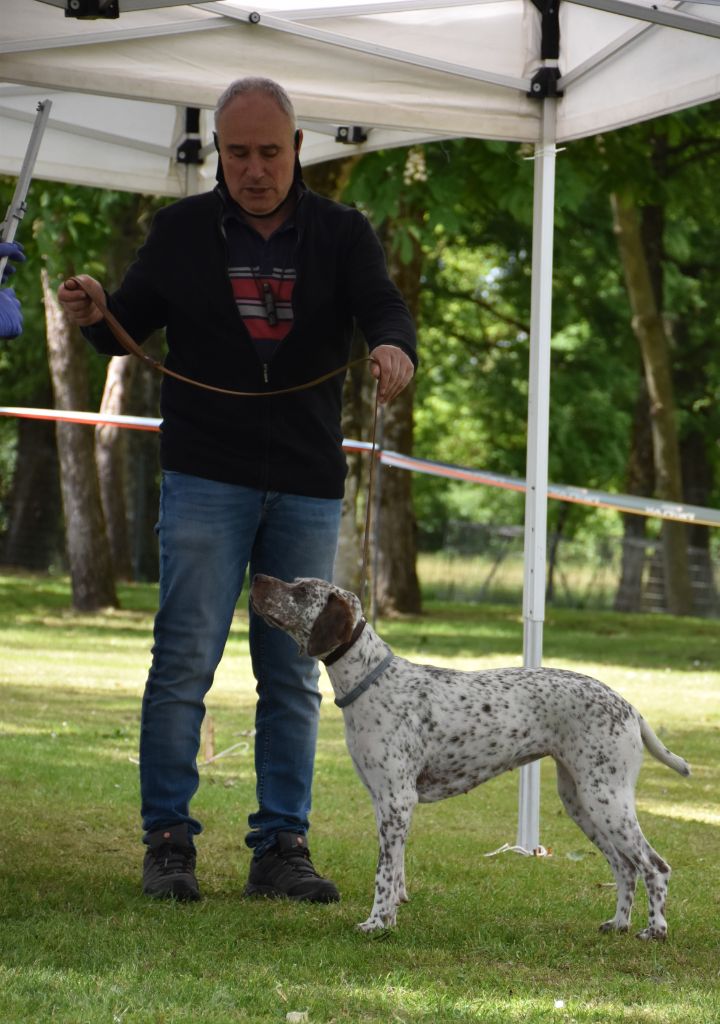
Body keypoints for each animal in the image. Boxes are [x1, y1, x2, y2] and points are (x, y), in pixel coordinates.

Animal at [249, 574, 690, 938]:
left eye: (302, 591)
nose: (257, 577)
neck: (371, 681)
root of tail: (629, 707)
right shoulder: (385, 803)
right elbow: (396, 871)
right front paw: (392, 914)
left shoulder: (397, 800)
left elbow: (383, 874)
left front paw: (376, 923)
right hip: (581, 801)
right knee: (625, 867)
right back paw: (618, 924)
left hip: (607, 799)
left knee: (654, 866)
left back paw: (655, 930)